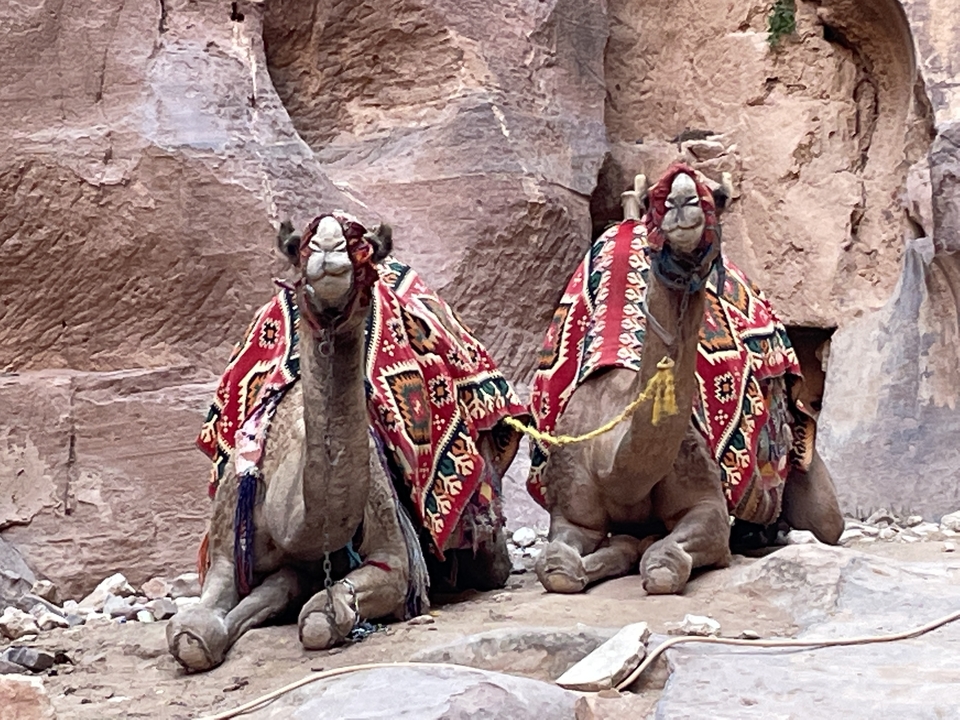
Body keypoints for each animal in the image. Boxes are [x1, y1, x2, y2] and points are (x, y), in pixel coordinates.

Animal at [167, 214, 513, 671]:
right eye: (297, 246)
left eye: (366, 248)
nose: (329, 246)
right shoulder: (227, 550)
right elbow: (194, 630)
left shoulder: (395, 559)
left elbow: (320, 615)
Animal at [531, 163, 844, 596]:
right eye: (653, 199)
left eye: (720, 196)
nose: (682, 200)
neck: (611, 459)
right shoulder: (571, 514)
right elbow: (559, 567)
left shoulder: (705, 504)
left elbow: (665, 563)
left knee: (827, 521)